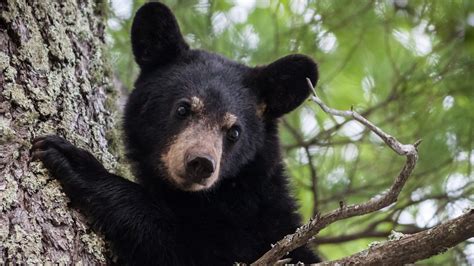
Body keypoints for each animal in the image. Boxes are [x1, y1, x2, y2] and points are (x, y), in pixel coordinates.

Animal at [29, 1, 318, 264]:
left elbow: (180, 247)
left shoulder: (248, 239)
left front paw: (77, 164)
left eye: (234, 132)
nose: (201, 163)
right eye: (183, 108)